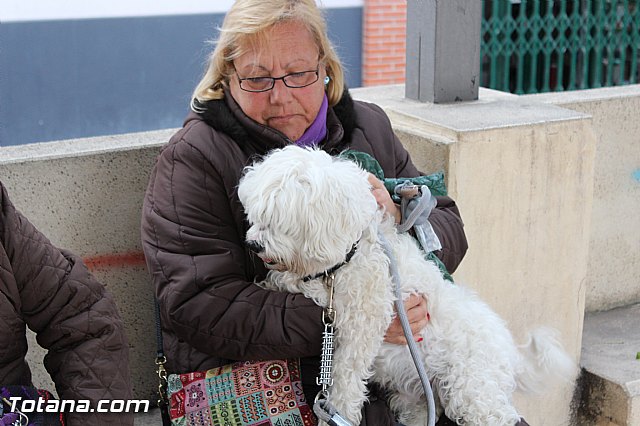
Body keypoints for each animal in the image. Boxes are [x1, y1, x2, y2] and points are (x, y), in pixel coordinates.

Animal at [238, 146, 576, 426]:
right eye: (255, 215)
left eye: (277, 220)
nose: (253, 244)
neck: (352, 251)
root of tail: (511, 356)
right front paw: (277, 280)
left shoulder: (363, 322)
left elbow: (346, 382)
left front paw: (337, 413)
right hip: (417, 399)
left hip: (475, 392)